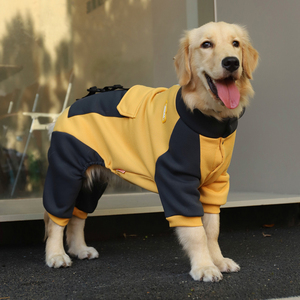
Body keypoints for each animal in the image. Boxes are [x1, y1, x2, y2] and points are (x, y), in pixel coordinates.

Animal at [44, 21, 258, 282]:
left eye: (235, 43)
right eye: (206, 44)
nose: (231, 63)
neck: (207, 121)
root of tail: (68, 109)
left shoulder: (215, 184)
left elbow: (212, 229)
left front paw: (217, 260)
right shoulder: (176, 180)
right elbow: (196, 232)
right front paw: (204, 266)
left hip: (91, 182)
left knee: (76, 215)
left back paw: (79, 249)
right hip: (66, 176)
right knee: (56, 218)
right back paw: (56, 255)